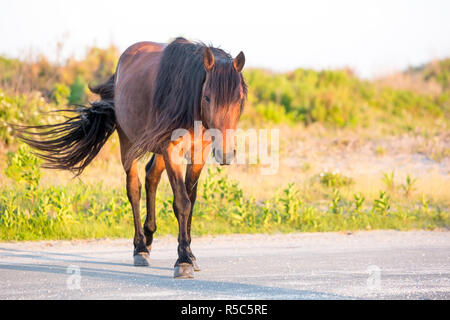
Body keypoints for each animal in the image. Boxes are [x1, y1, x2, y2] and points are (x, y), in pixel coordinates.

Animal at [14, 37, 246, 278]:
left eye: (238, 99)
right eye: (207, 97)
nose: (226, 153)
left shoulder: (198, 153)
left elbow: (191, 199)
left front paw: (190, 254)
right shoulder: (171, 149)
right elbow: (182, 202)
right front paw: (182, 260)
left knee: (151, 177)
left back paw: (149, 235)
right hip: (129, 144)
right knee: (134, 189)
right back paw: (140, 247)